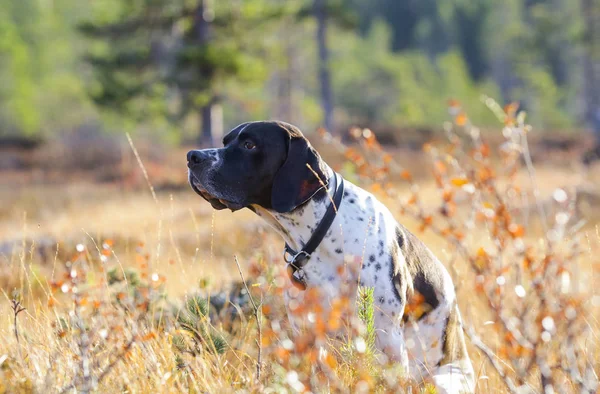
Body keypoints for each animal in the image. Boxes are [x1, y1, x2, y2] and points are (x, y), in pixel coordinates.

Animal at [185, 121, 476, 392]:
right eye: (225, 141)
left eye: (249, 145)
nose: (192, 156)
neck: (324, 233)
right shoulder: (307, 333)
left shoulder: (387, 336)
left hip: (441, 379)